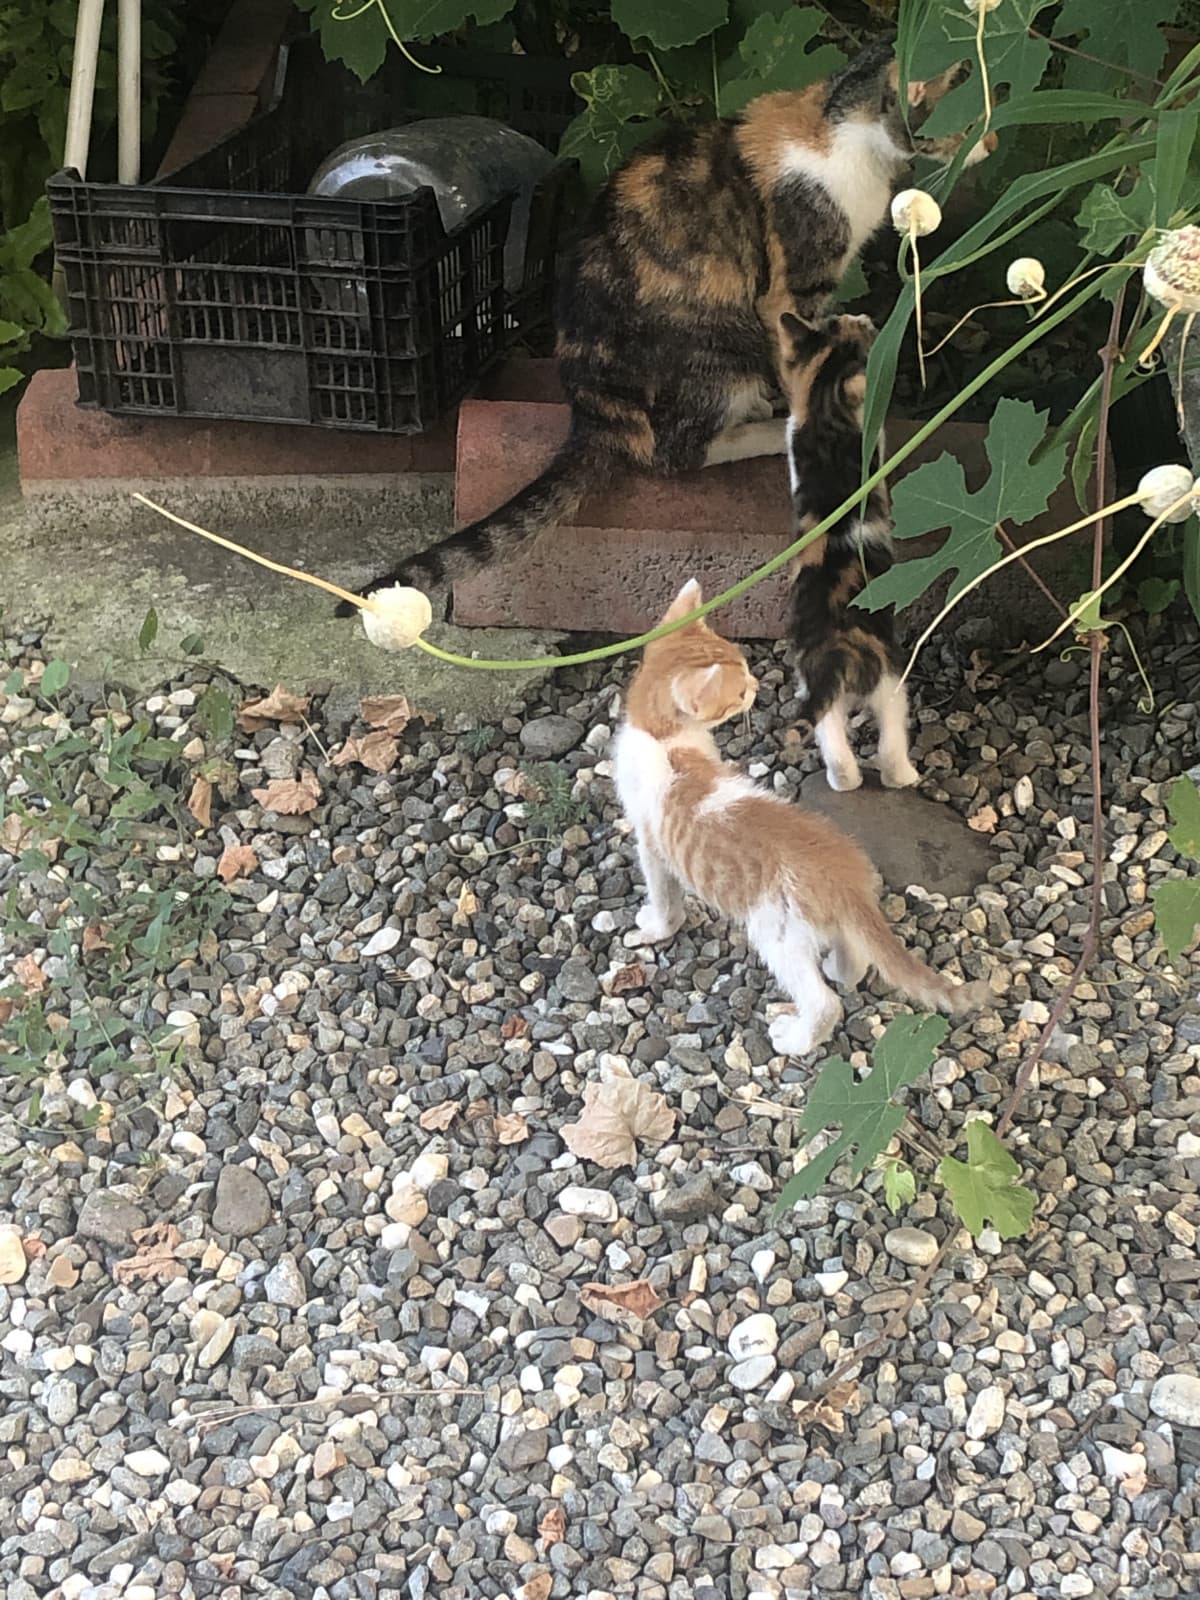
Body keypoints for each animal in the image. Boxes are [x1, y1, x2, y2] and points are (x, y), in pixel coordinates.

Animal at [350, 43, 998, 608]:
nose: (992, 139)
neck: (840, 123)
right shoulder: (792, 287)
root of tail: (593, 413)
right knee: (674, 453)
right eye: (969, 117)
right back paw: (764, 427)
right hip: (721, 343)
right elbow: (804, 358)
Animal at [614, 582, 992, 1056]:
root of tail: (846, 879)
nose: (756, 684)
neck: (664, 738)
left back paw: (796, 1037)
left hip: (777, 932)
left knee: (824, 1001)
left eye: (745, 673)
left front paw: (656, 927)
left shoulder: (651, 841)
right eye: (739, 688)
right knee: (855, 955)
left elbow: (663, 894)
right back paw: (839, 968)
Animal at [780, 307, 921, 793]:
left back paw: (842, 780)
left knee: (831, 738)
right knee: (891, 741)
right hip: (891, 683)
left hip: (818, 686)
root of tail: (839, 650)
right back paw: (904, 777)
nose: (865, 314)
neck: (825, 413)